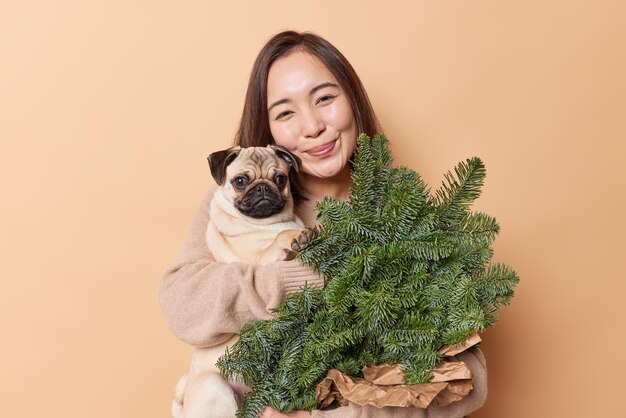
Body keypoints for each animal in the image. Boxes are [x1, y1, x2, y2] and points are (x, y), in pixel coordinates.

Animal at [171, 145, 314, 418]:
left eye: (280, 178)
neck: (269, 223)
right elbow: (279, 239)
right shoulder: (258, 261)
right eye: (240, 181)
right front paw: (294, 236)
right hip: (215, 386)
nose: (263, 188)